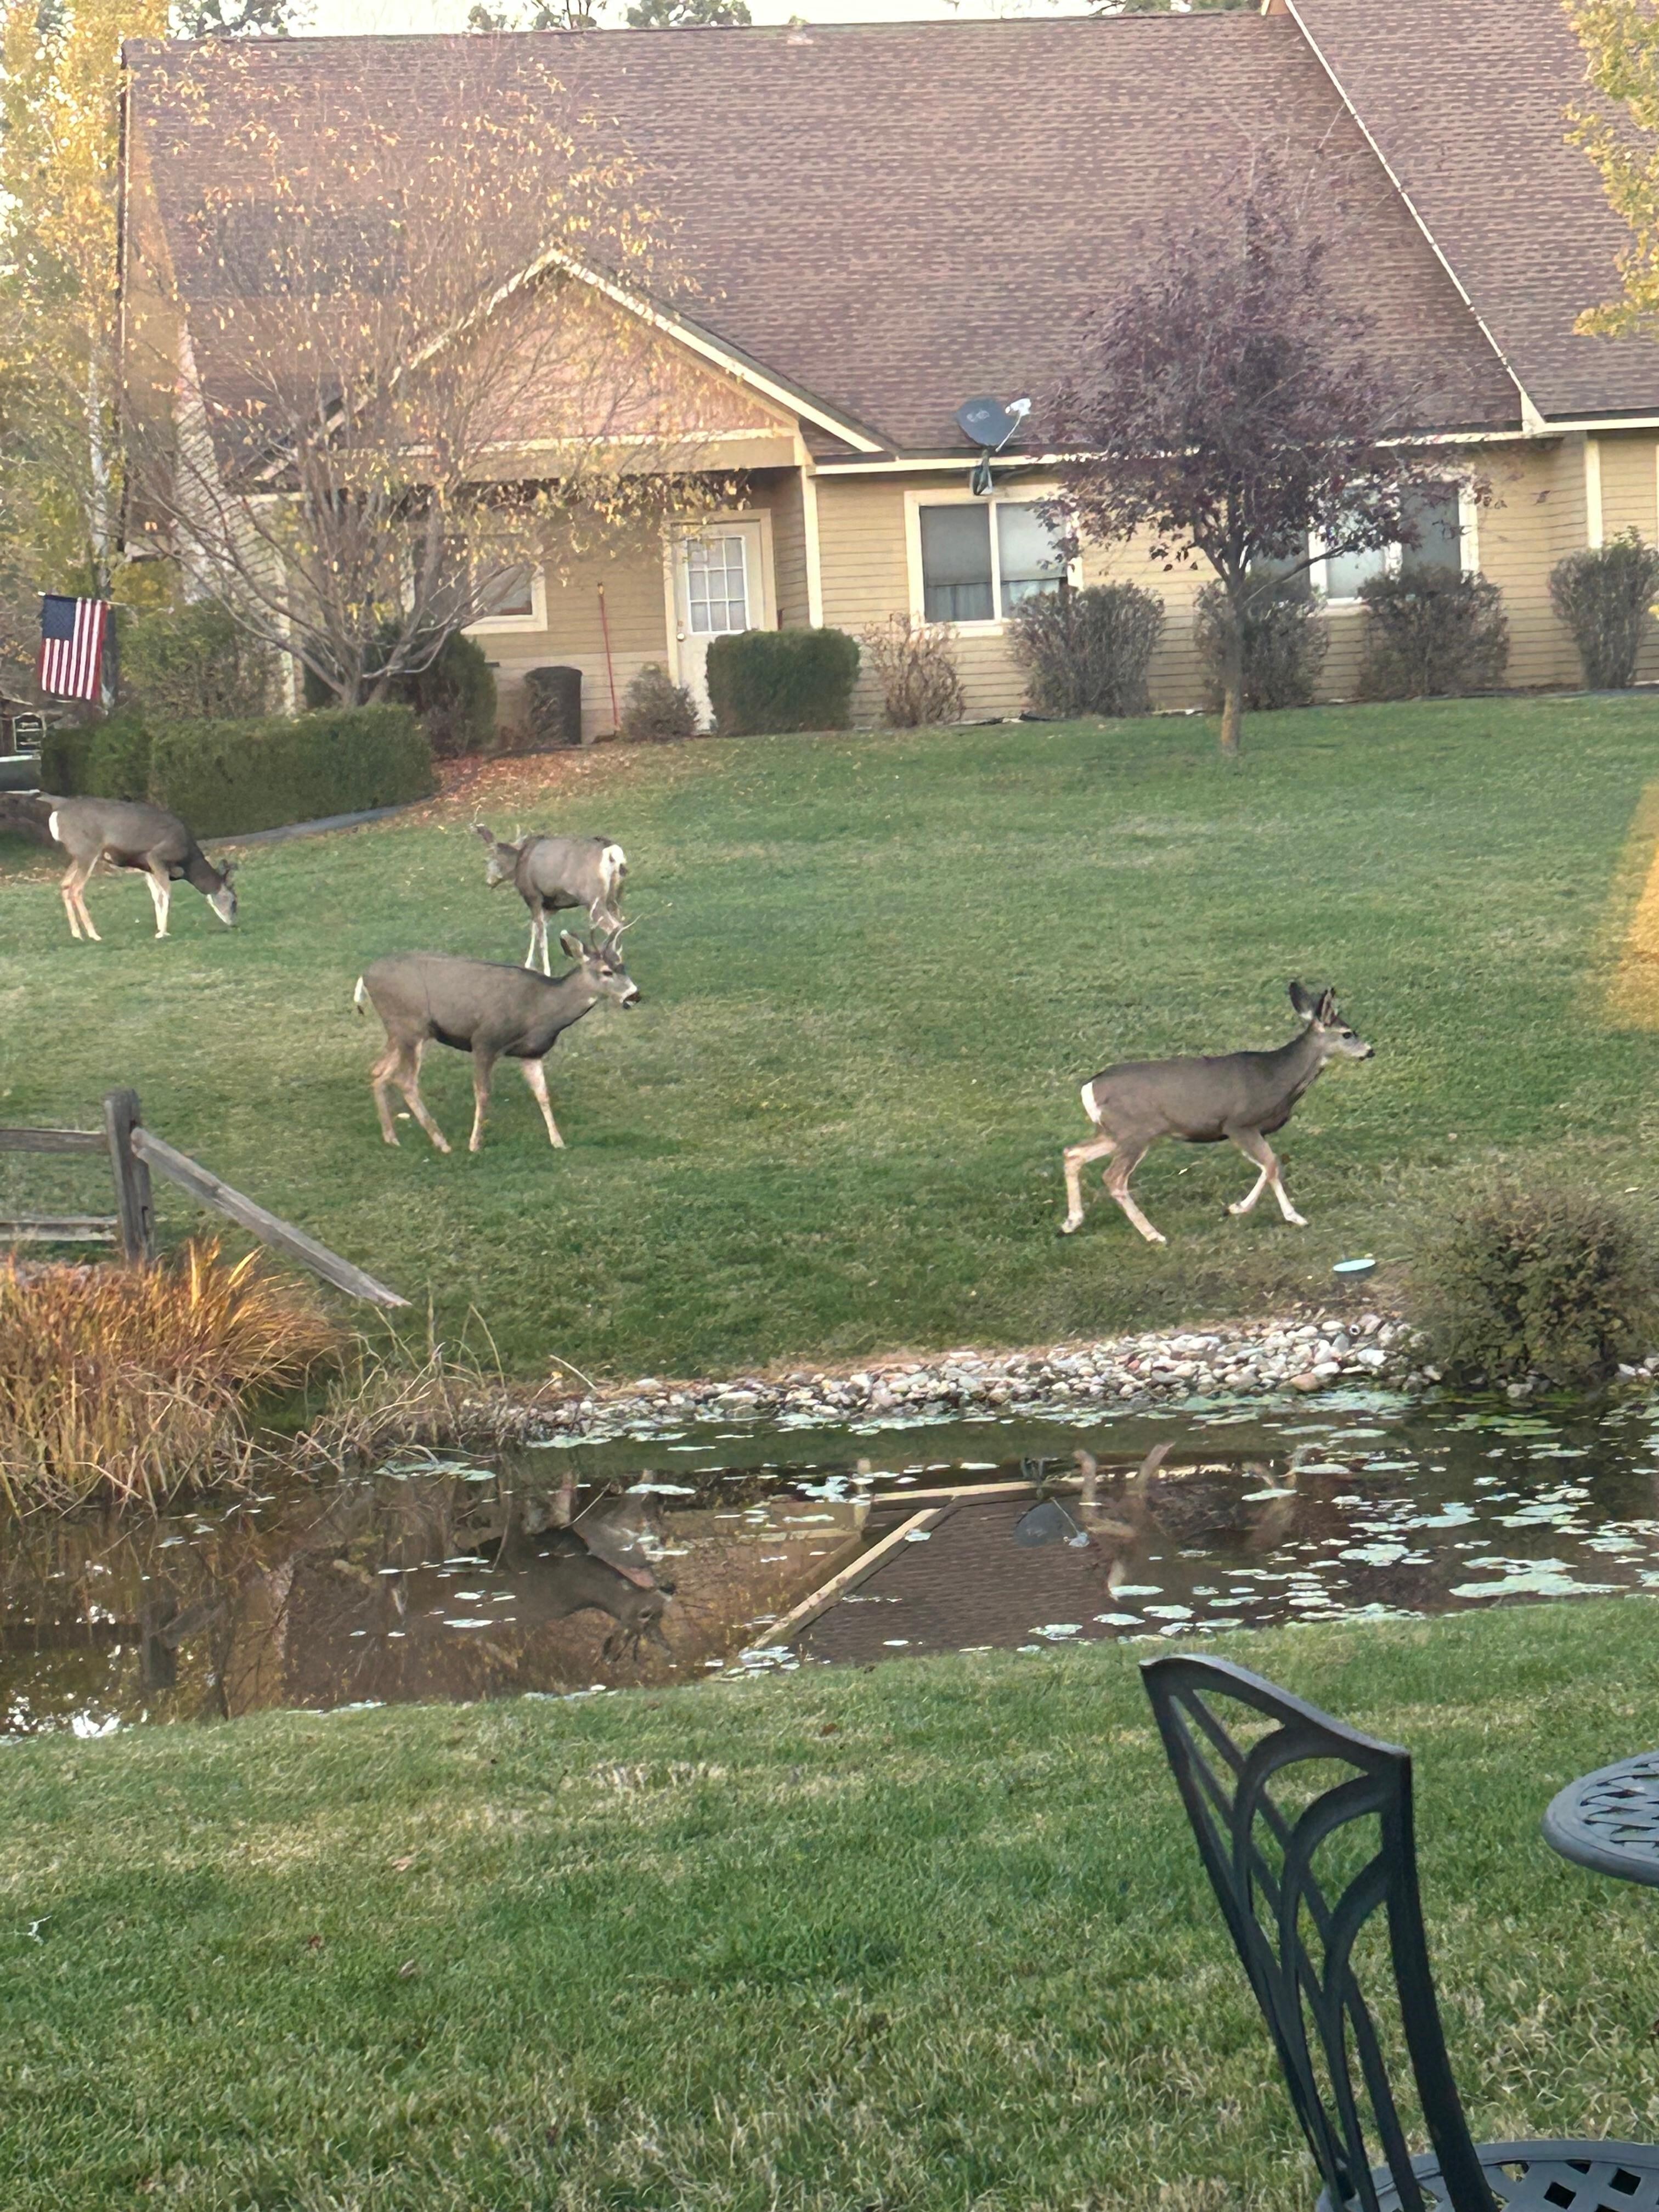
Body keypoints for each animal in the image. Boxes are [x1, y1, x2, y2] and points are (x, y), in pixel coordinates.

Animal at [33, 795, 236, 941]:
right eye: (234, 900)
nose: (233, 923)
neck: (188, 862)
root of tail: (58, 807)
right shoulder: (156, 857)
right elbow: (166, 893)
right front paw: (162, 933)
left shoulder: (148, 868)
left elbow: (156, 896)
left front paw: (161, 930)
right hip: (87, 851)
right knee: (76, 889)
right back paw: (94, 935)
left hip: (79, 855)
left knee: (64, 885)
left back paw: (77, 934)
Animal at [353, 927, 639, 1155]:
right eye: (606, 971)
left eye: (623, 966)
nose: (635, 996)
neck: (540, 1009)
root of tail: (364, 977)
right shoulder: (484, 1041)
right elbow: (483, 1093)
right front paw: (475, 1144)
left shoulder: (531, 1053)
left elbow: (543, 1094)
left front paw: (558, 1141)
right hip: (411, 1027)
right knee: (405, 1081)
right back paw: (442, 1142)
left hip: (401, 1033)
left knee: (378, 1071)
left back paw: (391, 1137)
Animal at [473, 823, 627, 976]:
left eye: (489, 859)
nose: (489, 882)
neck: (518, 864)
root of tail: (612, 854)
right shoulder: (553, 905)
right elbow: (536, 929)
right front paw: (529, 965)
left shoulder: (533, 896)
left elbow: (541, 935)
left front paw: (546, 971)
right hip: (614, 898)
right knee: (620, 923)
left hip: (593, 900)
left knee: (614, 927)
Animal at [1059, 982, 1373, 1245]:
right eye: (1348, 1034)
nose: (1370, 1051)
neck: (1278, 1078)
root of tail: (1089, 1087)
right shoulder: (1239, 1123)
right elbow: (1272, 1164)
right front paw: (1283, 1215)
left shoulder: (1250, 1130)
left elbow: (1270, 1165)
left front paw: (1239, 1208)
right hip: (1134, 1132)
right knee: (1113, 1178)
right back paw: (1154, 1235)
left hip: (1113, 1132)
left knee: (1073, 1153)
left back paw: (1071, 1222)